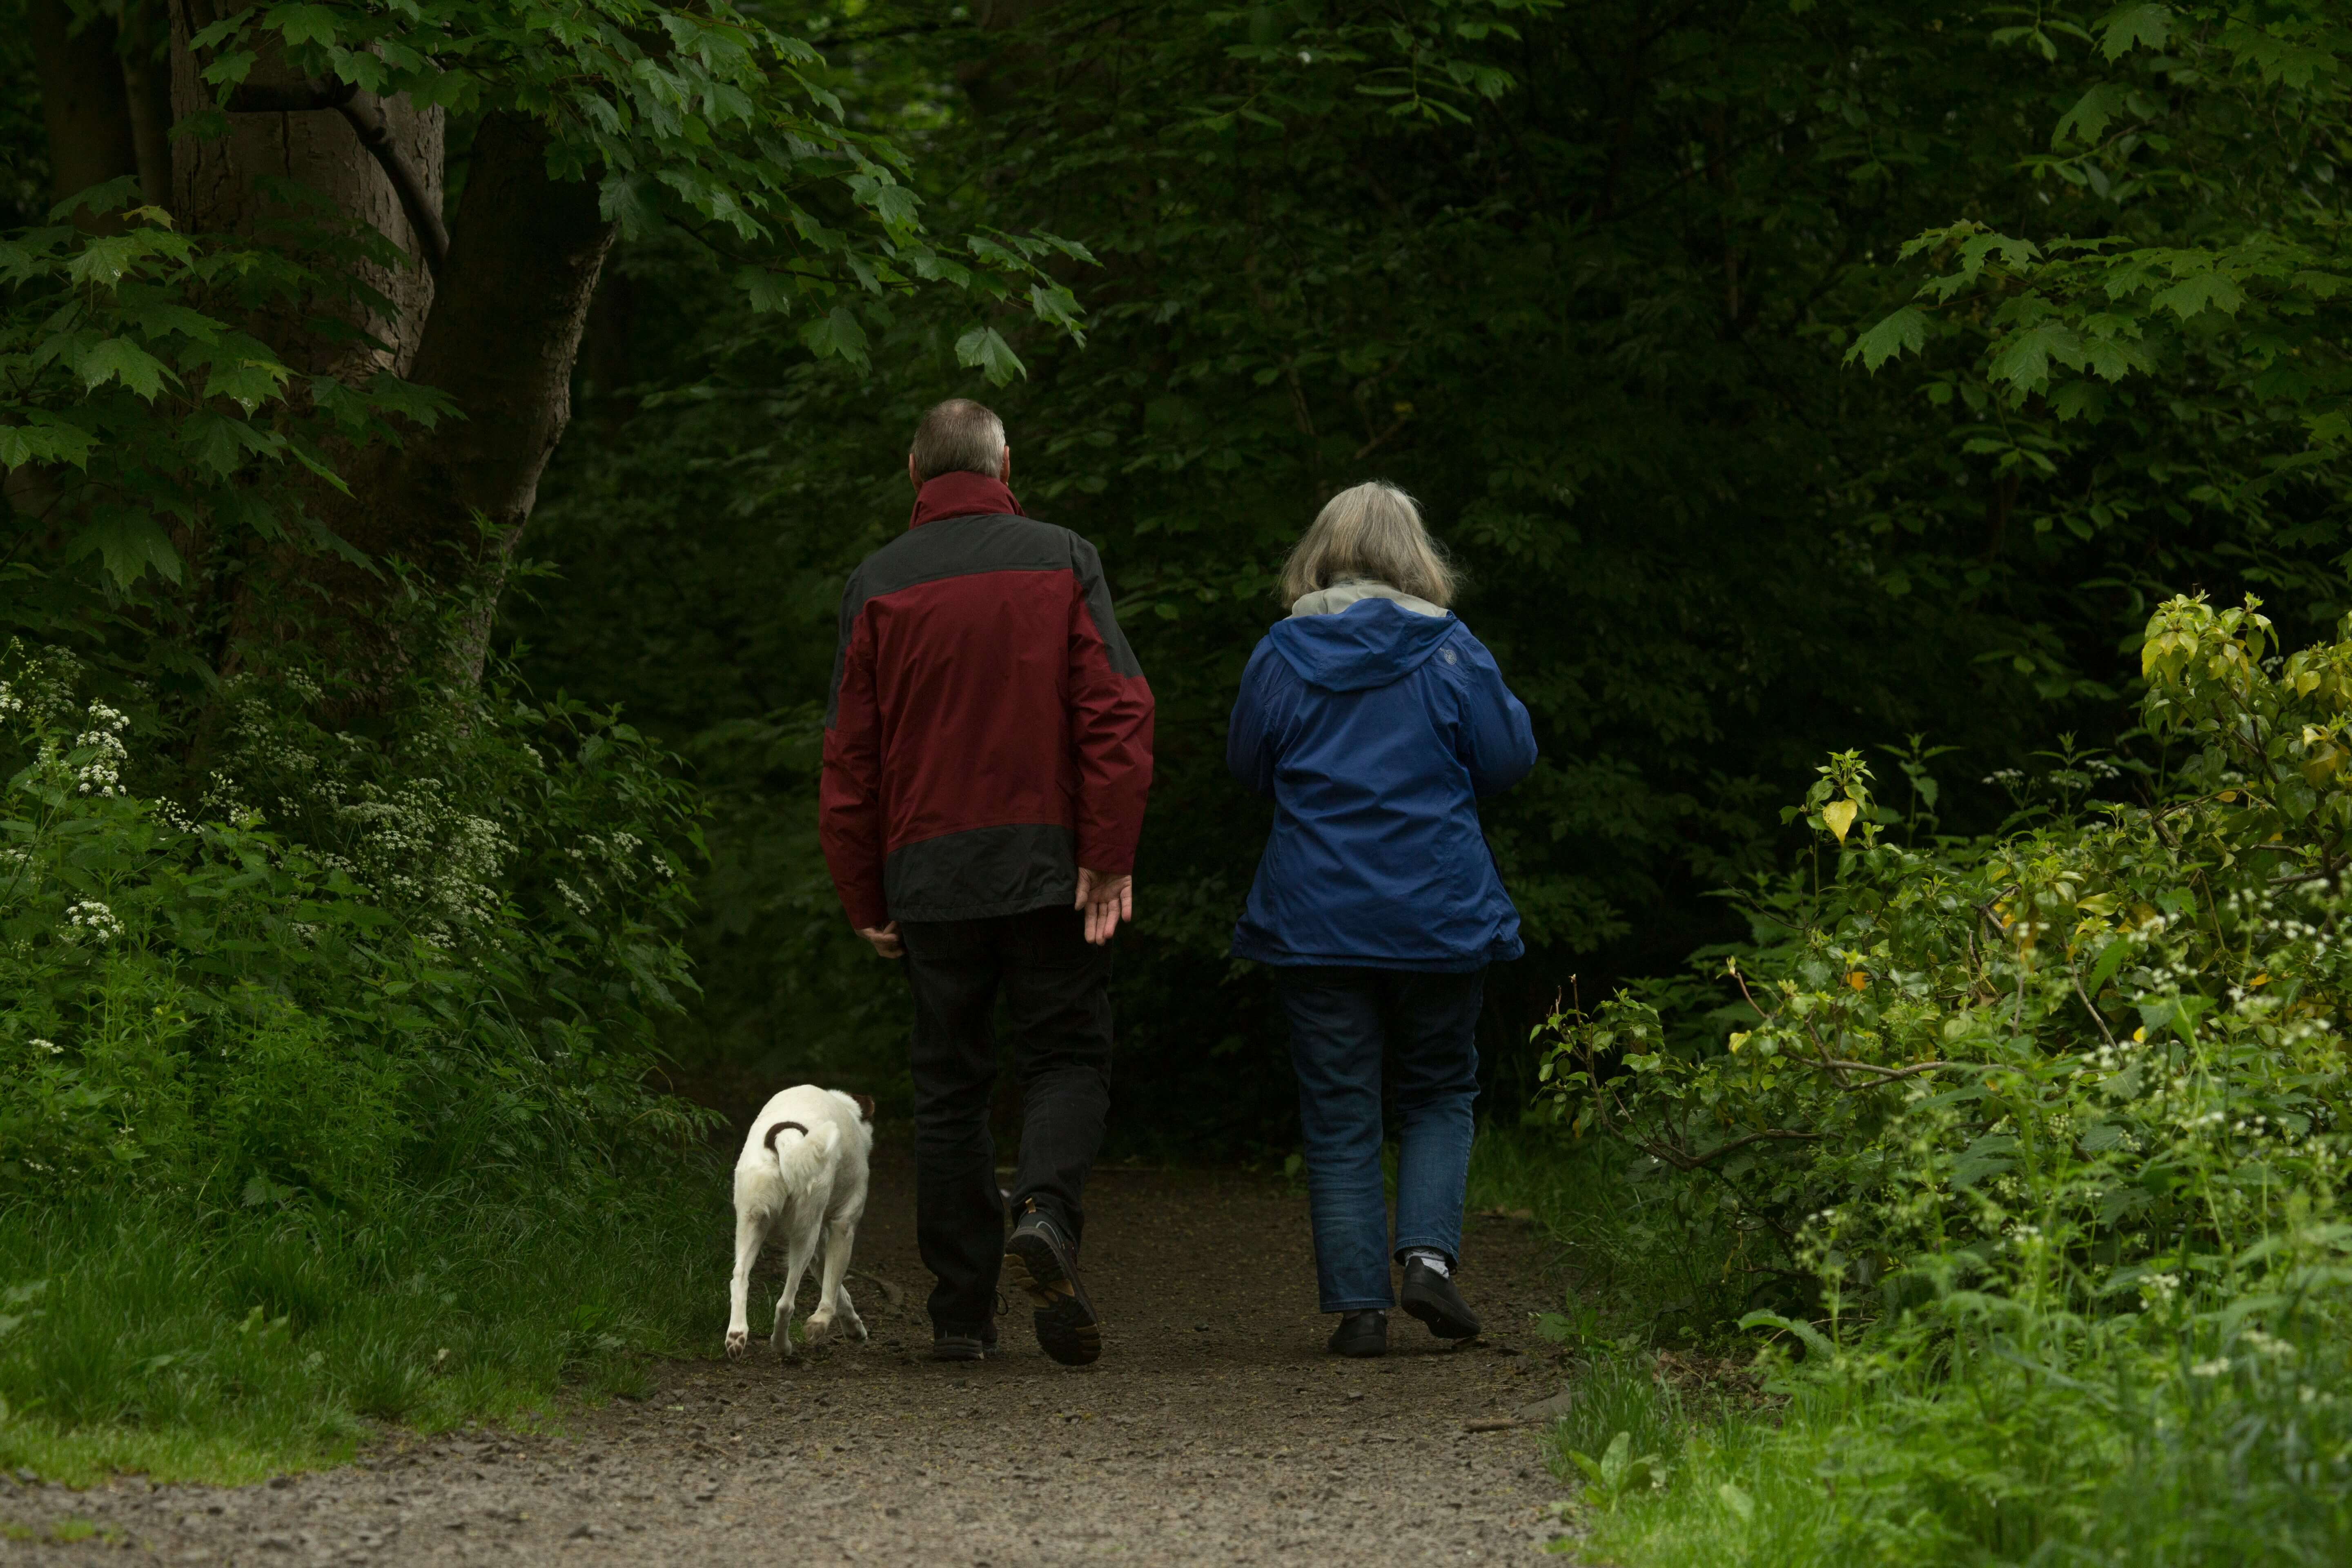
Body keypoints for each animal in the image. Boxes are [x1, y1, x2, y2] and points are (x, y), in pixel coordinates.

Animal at [724, 1086, 875, 1354]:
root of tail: (786, 1139)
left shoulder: (819, 1250)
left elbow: (840, 1293)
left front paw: (854, 1328)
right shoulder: (843, 1227)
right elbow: (831, 1292)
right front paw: (820, 1324)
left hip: (751, 1224)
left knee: (740, 1277)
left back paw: (737, 1336)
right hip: (805, 1234)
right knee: (785, 1304)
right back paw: (782, 1346)